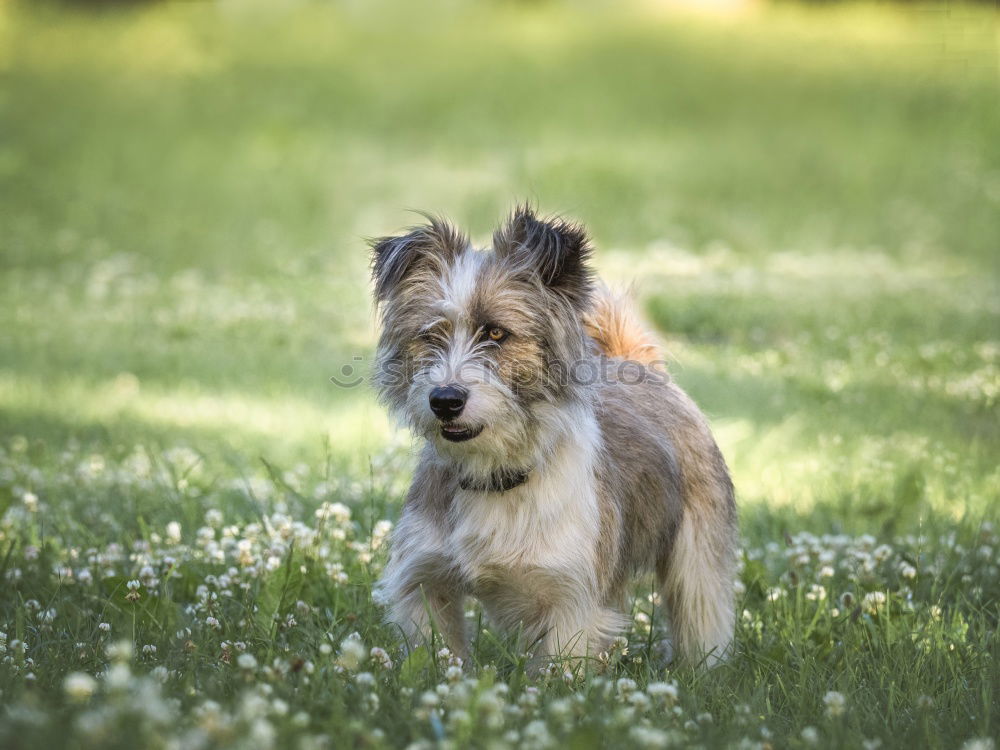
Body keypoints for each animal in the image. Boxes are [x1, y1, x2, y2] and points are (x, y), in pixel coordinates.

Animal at [372, 206, 740, 668]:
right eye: (430, 334)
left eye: (496, 333)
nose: (445, 400)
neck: (496, 475)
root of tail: (634, 362)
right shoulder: (423, 583)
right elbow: (433, 656)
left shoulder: (572, 603)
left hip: (697, 558)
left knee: (701, 613)